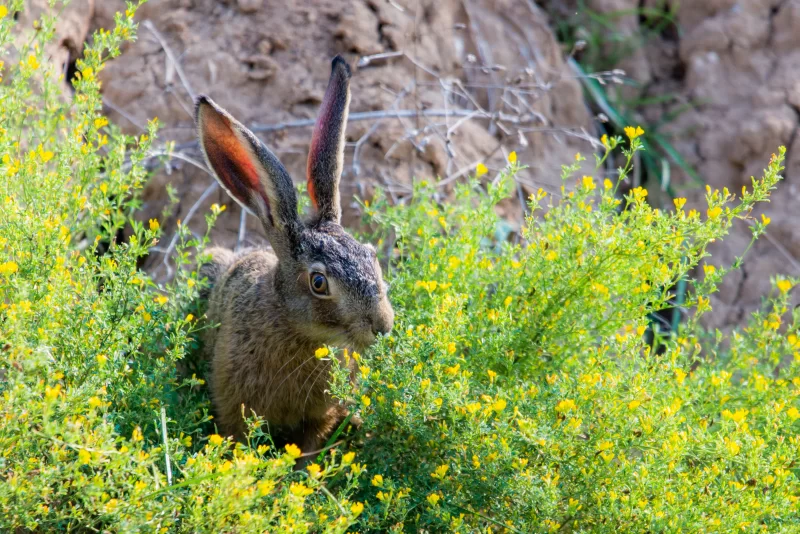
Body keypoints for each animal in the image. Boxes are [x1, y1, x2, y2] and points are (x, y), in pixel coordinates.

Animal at [194, 55, 394, 456]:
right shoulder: (234, 406)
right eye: (318, 282)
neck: (297, 329)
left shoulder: (323, 415)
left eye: (371, 255)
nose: (382, 325)